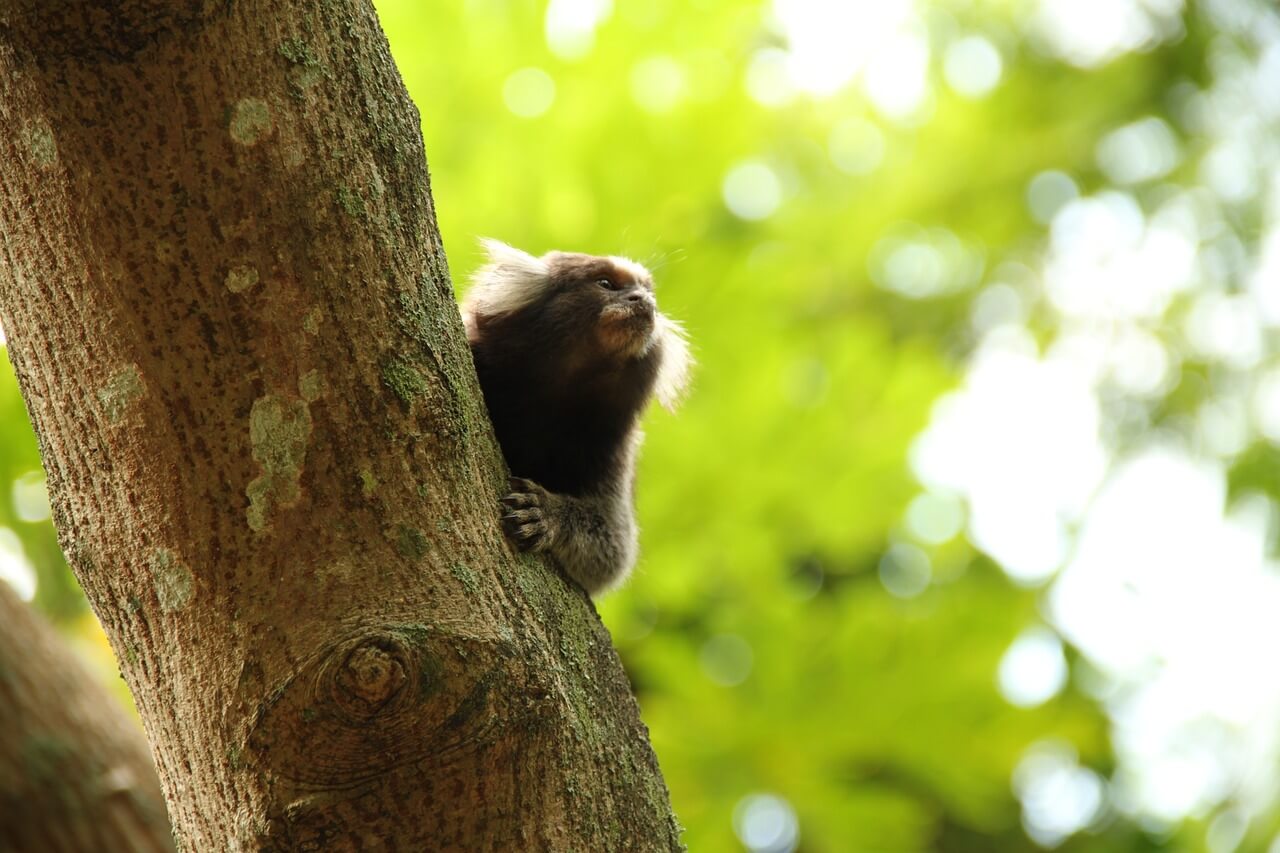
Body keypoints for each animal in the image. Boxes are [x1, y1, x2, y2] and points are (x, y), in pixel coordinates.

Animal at [463, 239, 691, 594]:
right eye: (606, 284)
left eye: (646, 290)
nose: (643, 301)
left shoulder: (612, 446)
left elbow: (613, 551)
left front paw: (547, 514)